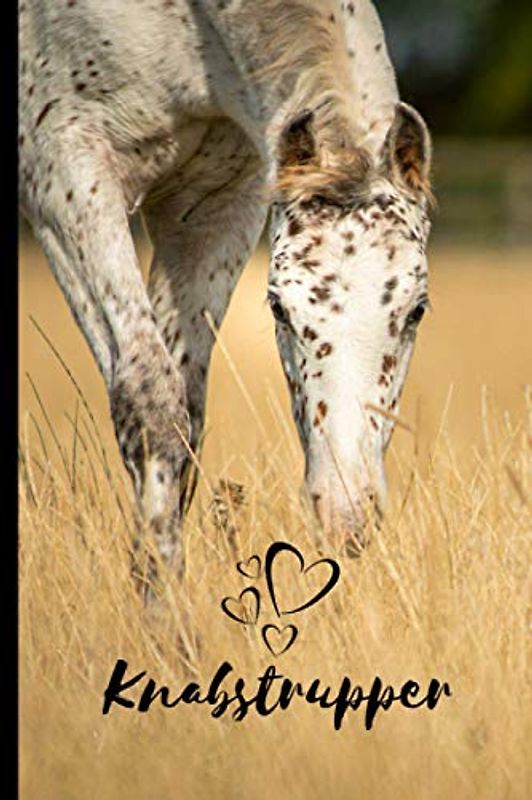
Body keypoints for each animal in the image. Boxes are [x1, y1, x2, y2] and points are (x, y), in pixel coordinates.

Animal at [19, 0, 433, 569]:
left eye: (416, 310)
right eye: (279, 308)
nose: (345, 514)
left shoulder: (217, 204)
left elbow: (188, 415)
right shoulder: (65, 171)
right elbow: (149, 401)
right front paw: (162, 589)